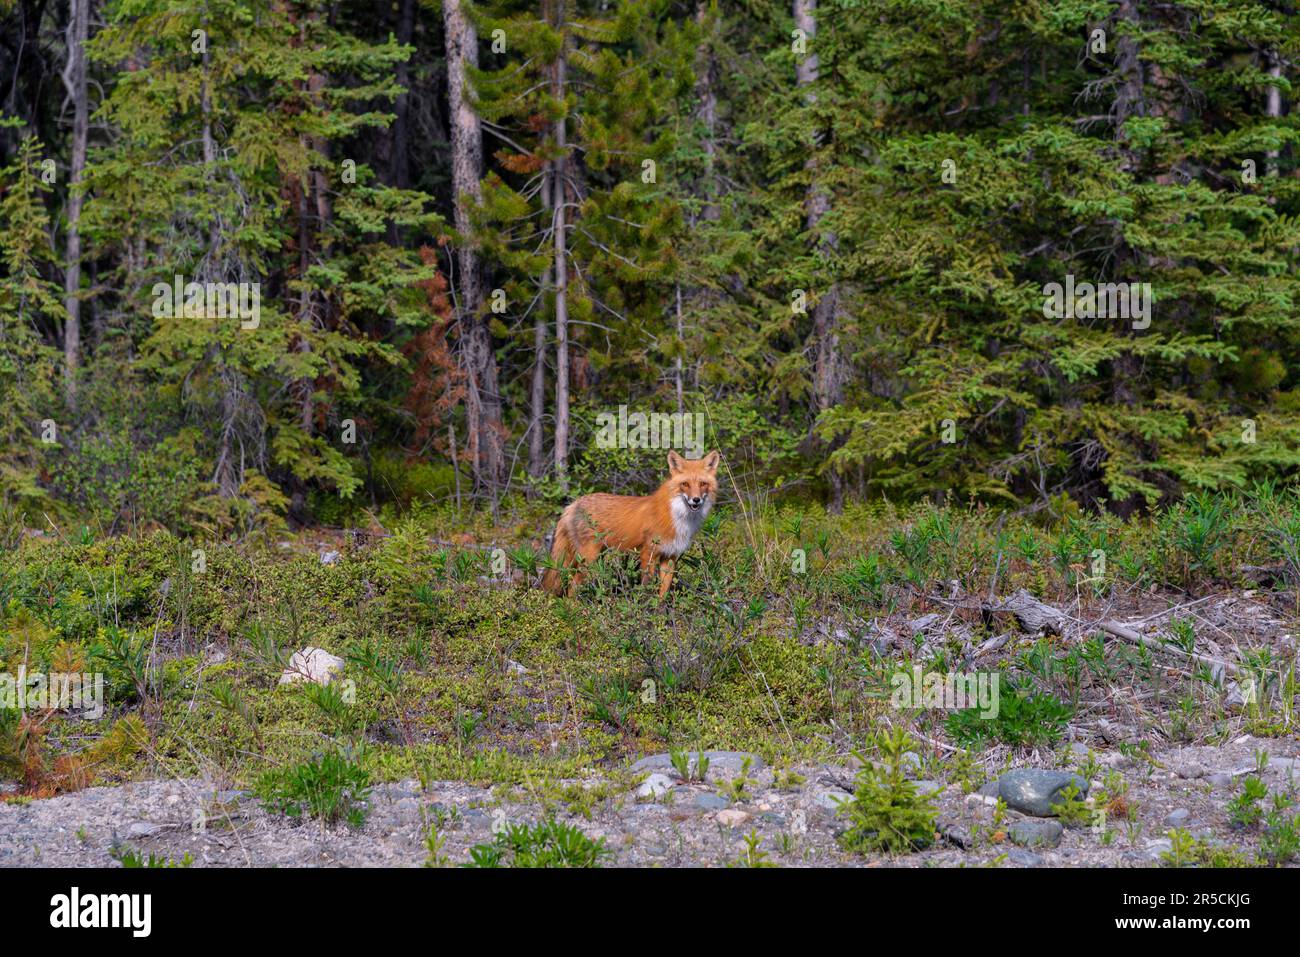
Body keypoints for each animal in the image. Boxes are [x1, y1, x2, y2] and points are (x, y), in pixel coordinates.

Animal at [538, 449, 722, 598]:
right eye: (685, 484)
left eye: (703, 484)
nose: (696, 500)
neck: (678, 518)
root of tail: (573, 504)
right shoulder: (648, 553)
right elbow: (646, 588)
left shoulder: (670, 557)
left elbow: (662, 594)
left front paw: (661, 616)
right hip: (588, 559)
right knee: (572, 588)